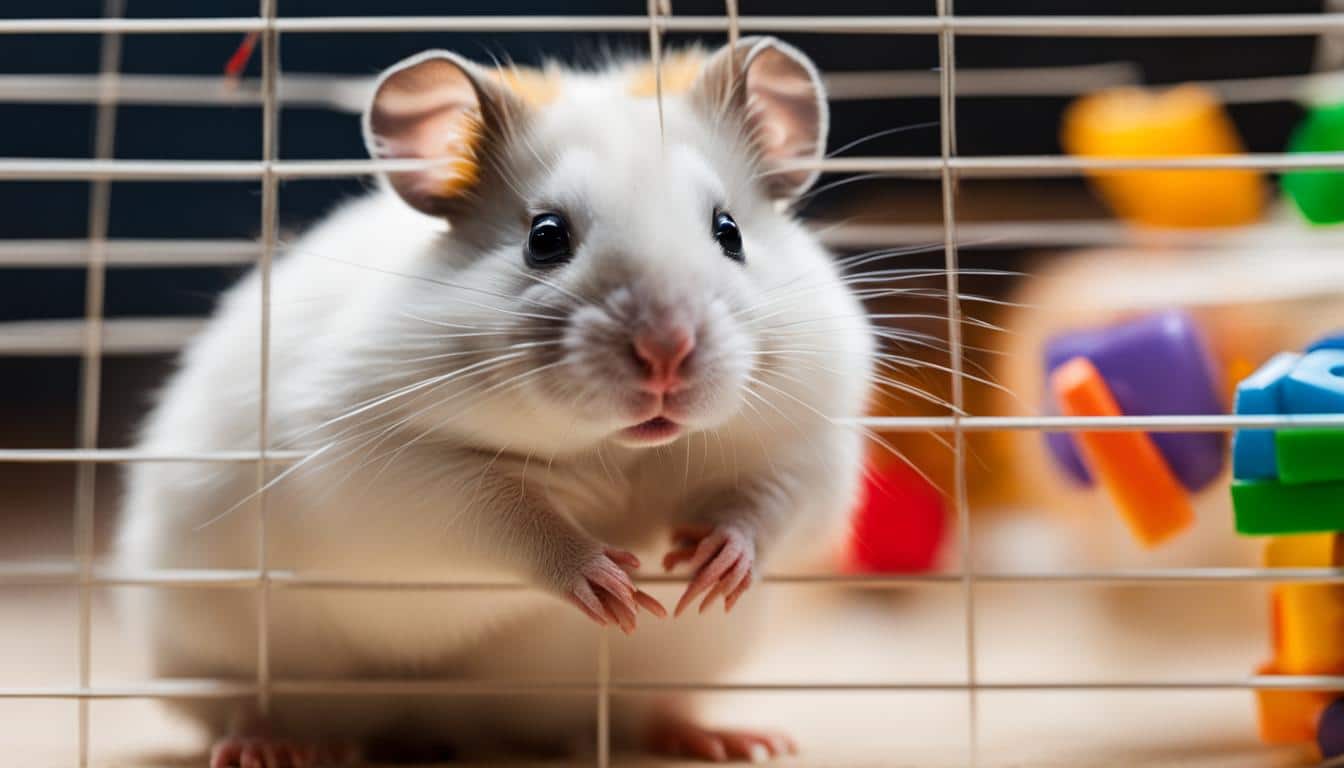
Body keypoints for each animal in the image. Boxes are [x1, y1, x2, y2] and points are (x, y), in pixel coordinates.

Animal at [116, 38, 874, 766]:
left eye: (729, 232)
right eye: (545, 237)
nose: (667, 349)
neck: (621, 448)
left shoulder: (810, 447)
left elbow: (766, 507)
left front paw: (708, 569)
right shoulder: (392, 477)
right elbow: (512, 519)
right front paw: (611, 581)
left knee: (656, 708)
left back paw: (731, 739)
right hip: (216, 649)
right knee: (242, 702)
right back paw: (271, 746)